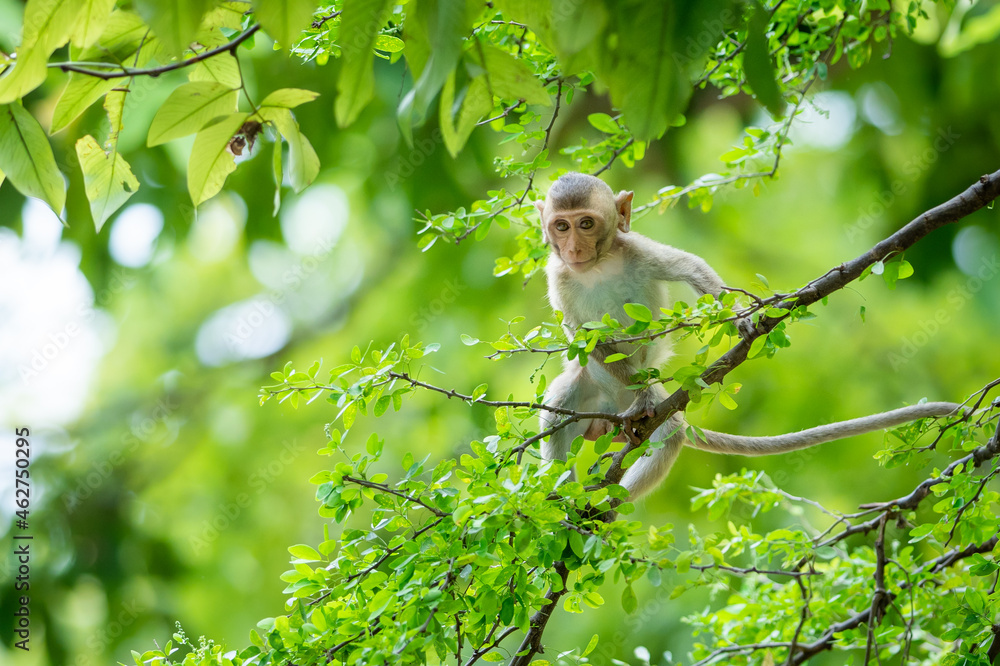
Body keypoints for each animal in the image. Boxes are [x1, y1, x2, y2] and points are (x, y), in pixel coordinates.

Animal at [536, 172, 961, 499]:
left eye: (586, 223)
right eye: (562, 225)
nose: (573, 247)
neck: (597, 267)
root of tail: (609, 413)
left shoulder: (636, 250)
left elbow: (689, 267)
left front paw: (739, 321)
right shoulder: (558, 277)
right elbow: (581, 338)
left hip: (652, 407)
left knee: (670, 434)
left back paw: (606, 503)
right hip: (590, 392)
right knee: (559, 408)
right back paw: (565, 500)